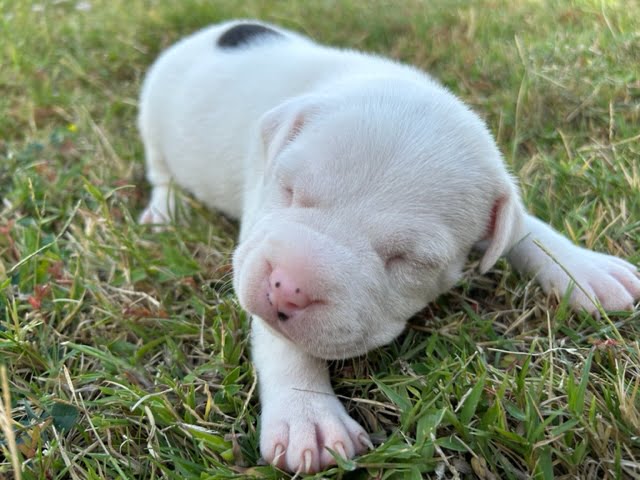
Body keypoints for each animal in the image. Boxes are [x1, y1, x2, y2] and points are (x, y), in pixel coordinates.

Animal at [136, 21, 640, 472]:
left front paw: (582, 269)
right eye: (290, 190)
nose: (287, 289)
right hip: (153, 112)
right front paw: (307, 415)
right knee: (160, 170)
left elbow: (523, 226)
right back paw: (165, 210)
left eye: (408, 260)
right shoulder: (257, 220)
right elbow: (282, 341)